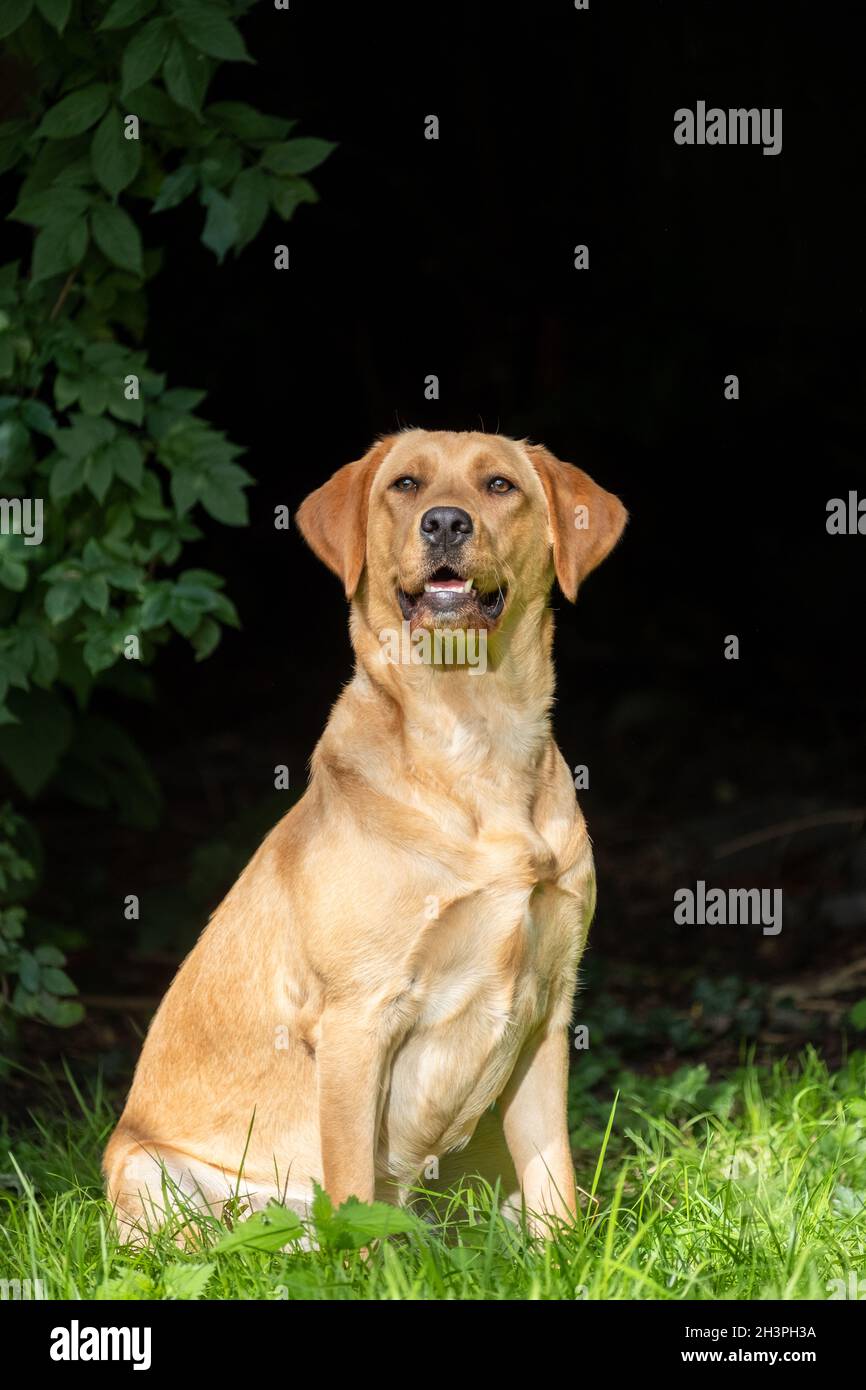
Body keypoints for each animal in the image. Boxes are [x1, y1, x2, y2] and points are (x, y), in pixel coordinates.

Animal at [104, 430, 625, 1239]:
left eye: (499, 485)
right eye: (405, 484)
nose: (445, 523)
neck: (473, 738)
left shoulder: (549, 1007)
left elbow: (556, 1183)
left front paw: (561, 1256)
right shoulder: (357, 1018)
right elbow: (352, 1189)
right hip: (147, 1171)